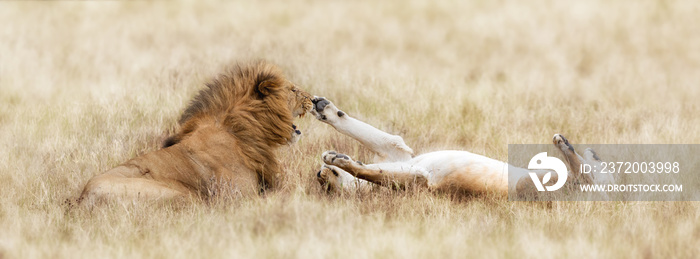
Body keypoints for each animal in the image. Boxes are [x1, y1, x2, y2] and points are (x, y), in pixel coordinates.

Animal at [77, 61, 314, 205]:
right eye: (293, 90)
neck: (244, 131)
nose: (313, 99)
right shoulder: (238, 196)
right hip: (185, 195)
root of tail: (82, 198)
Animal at [312, 97, 612, 197]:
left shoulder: (398, 153)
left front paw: (325, 109)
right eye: (326, 189)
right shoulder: (413, 172)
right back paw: (574, 148)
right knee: (588, 175)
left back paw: (571, 145)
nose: (318, 175)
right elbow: (371, 170)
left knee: (588, 173)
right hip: (530, 184)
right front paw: (340, 159)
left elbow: (362, 136)